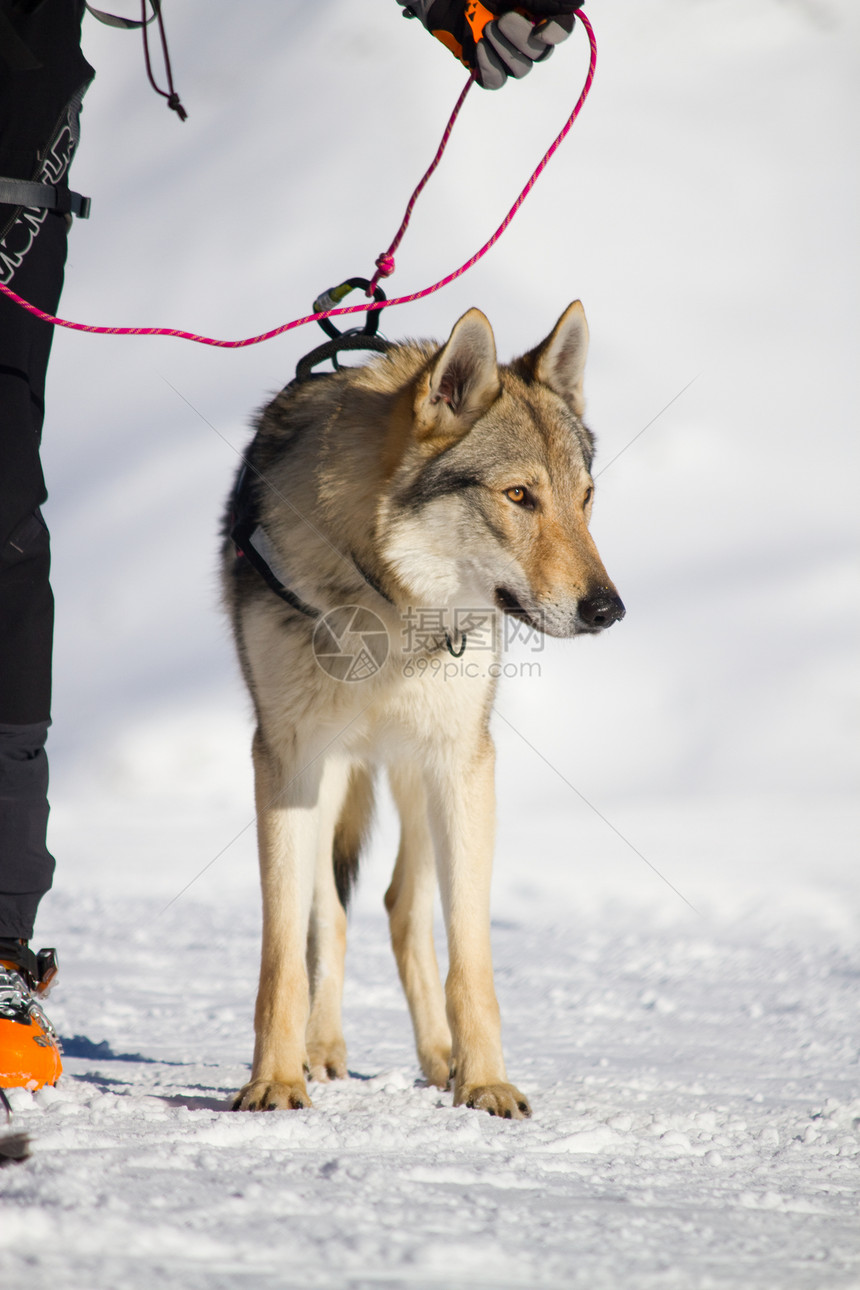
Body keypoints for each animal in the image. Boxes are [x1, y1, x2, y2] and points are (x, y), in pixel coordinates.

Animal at [221, 301, 626, 1119]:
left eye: (586, 498)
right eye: (518, 496)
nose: (608, 609)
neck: (390, 607)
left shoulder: (463, 761)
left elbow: (470, 956)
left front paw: (486, 1082)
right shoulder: (285, 758)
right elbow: (283, 951)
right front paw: (273, 1081)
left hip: (417, 776)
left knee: (405, 906)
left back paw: (440, 1059)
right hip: (334, 775)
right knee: (330, 916)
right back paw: (319, 1050)